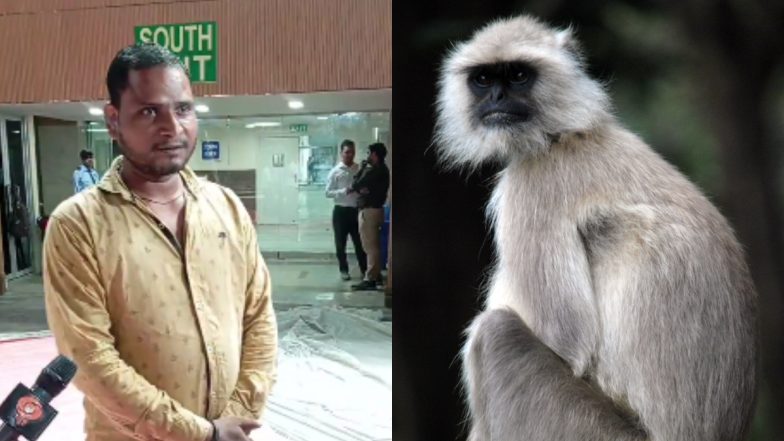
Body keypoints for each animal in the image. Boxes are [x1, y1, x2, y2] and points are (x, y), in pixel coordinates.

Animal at [434, 15, 757, 441]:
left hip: (585, 429)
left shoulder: (535, 185)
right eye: (484, 79)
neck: (568, 135)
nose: (497, 99)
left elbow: (564, 340)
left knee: (496, 331)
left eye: (518, 75)